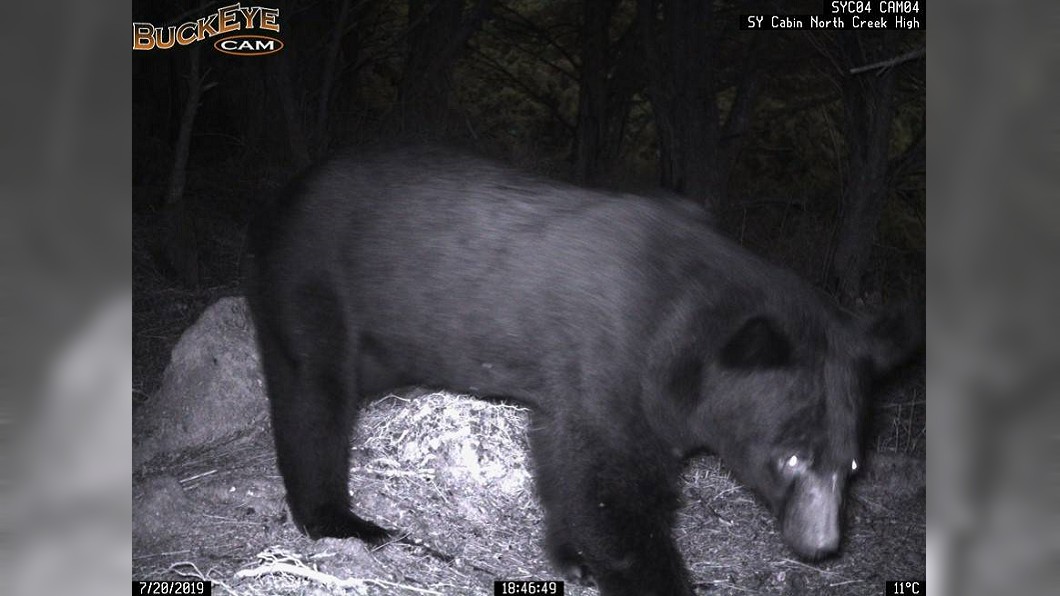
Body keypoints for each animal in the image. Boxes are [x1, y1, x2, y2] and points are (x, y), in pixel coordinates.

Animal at [245, 146, 921, 596]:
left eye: (852, 466)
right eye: (790, 458)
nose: (820, 547)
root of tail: (289, 191)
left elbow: (566, 462)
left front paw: (570, 557)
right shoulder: (618, 355)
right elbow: (610, 484)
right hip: (314, 284)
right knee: (313, 396)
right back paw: (343, 522)